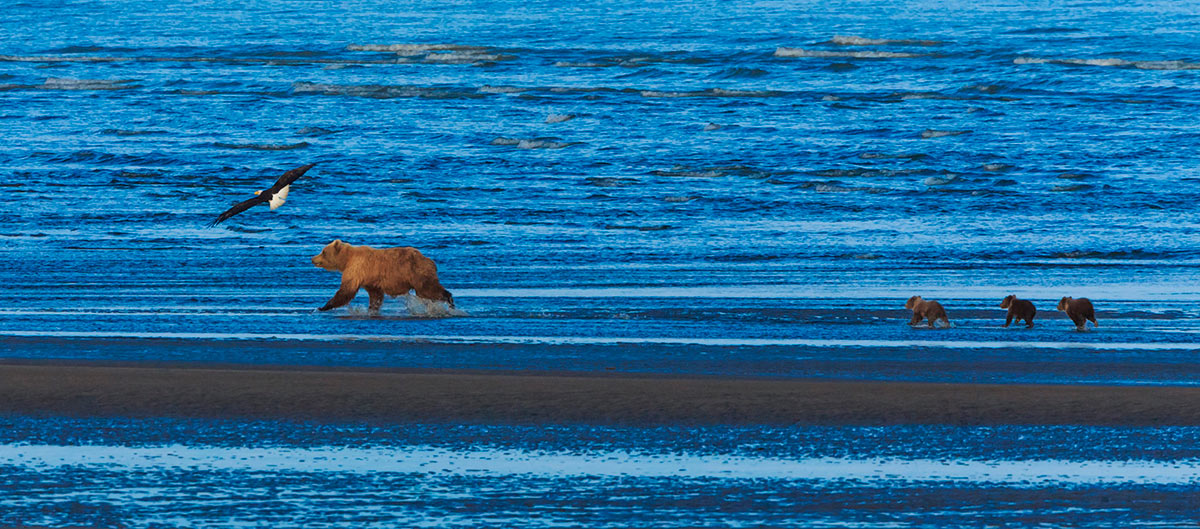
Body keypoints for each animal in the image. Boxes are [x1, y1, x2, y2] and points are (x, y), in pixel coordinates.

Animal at [311, 239, 454, 314]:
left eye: (323, 251)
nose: (312, 258)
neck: (346, 260)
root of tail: (430, 261)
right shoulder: (370, 279)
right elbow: (376, 295)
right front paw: (372, 308)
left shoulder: (356, 270)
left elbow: (346, 291)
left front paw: (323, 306)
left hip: (417, 273)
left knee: (428, 289)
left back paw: (449, 300)